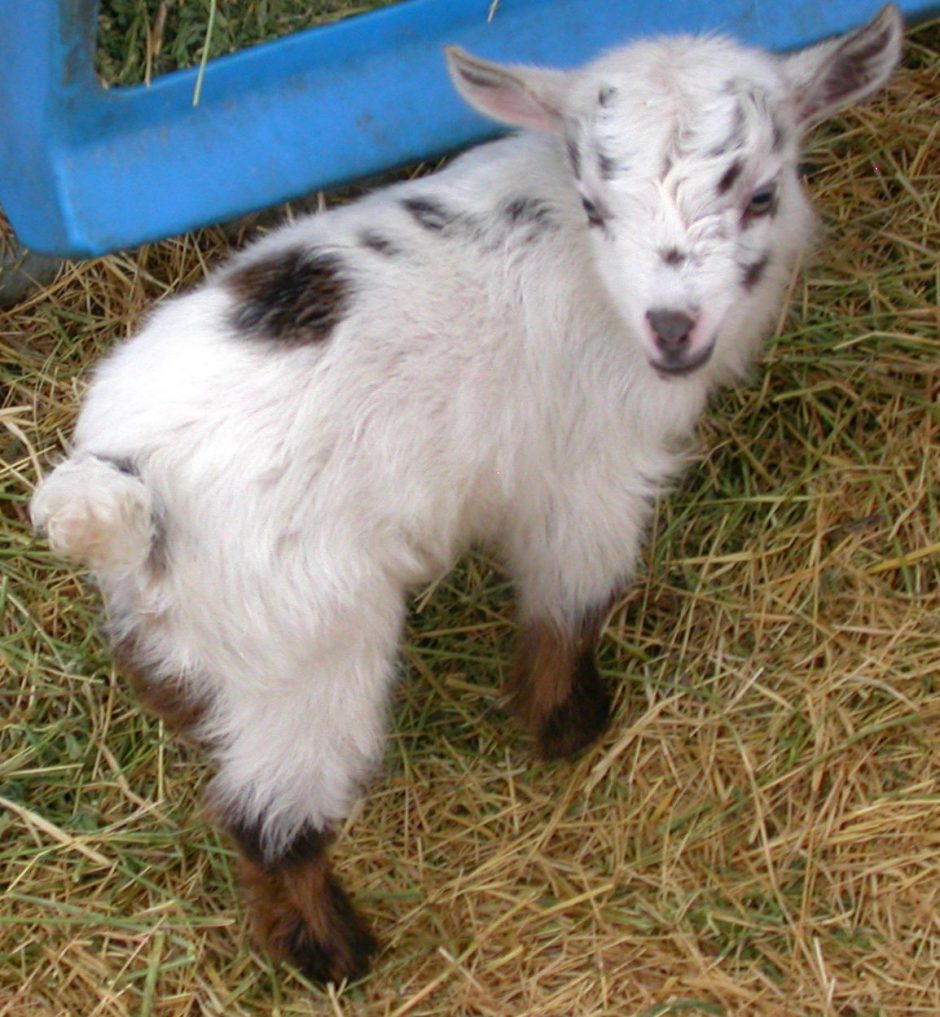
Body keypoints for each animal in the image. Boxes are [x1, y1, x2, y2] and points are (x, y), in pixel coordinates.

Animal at [30, 6, 902, 984]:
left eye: (760, 194)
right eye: (598, 207)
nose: (673, 329)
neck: (590, 273)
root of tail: (124, 486)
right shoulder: (590, 478)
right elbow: (568, 605)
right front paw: (567, 726)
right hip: (310, 654)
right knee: (271, 818)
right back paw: (335, 951)